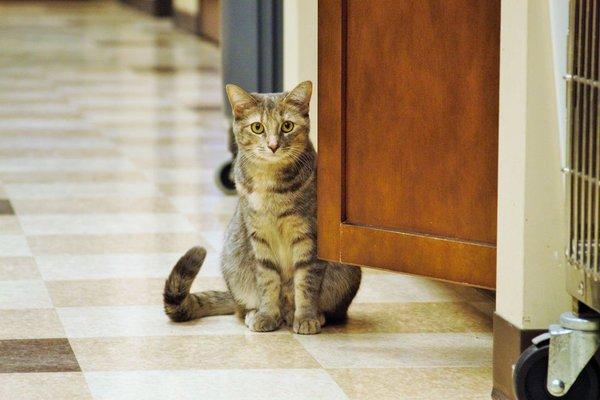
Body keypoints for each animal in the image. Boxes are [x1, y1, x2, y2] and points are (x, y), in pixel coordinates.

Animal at [162, 81, 360, 334]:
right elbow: (268, 280)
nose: (273, 145)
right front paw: (266, 314)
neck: (269, 186)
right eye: (257, 127)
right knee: (241, 308)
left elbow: (306, 283)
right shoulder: (259, 236)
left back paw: (311, 315)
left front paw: (306, 317)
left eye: (287, 126)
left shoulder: (308, 237)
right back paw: (256, 313)